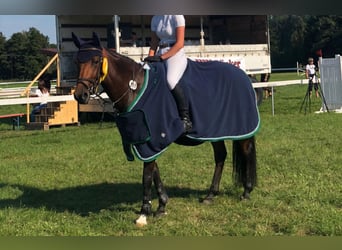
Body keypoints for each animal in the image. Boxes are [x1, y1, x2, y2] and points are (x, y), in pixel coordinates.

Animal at [72, 32, 260, 228]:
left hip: (240, 130)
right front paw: (161, 205)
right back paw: (210, 195)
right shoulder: (147, 142)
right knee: (220, 156)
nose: (80, 95)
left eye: (95, 60)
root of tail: (244, 76)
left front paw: (144, 213)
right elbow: (155, 172)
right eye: (77, 61)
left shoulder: (151, 138)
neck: (134, 87)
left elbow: (147, 175)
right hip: (216, 131)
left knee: (246, 152)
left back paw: (246, 192)